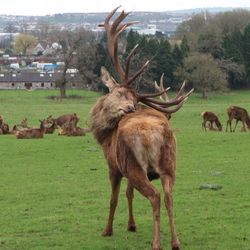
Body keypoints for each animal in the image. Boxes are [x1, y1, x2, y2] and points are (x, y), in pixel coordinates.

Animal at [90, 6, 193, 250]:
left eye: (130, 97)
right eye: (120, 93)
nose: (129, 108)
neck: (104, 137)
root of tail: (154, 133)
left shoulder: (113, 166)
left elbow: (114, 198)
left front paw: (107, 230)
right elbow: (129, 194)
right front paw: (131, 225)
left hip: (133, 165)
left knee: (155, 196)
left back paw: (157, 243)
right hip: (170, 164)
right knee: (169, 196)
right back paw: (175, 241)